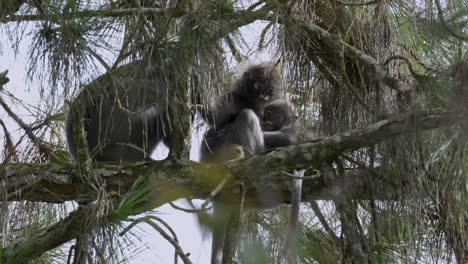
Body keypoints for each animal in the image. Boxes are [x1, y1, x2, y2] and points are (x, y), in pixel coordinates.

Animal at [200, 62, 284, 264]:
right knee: (246, 116)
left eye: (270, 90)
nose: (264, 96)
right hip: (222, 153)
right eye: (258, 85)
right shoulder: (234, 98)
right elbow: (213, 116)